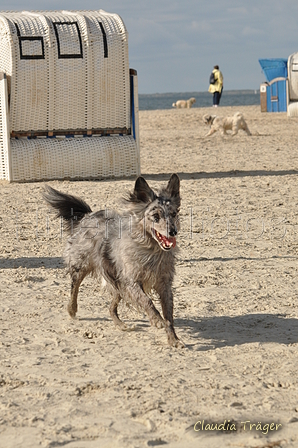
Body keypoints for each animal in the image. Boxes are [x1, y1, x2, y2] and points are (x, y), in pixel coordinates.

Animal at [43, 174, 184, 346]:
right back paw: (72, 309)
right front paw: (157, 320)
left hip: (116, 280)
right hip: (82, 266)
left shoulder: (164, 285)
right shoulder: (131, 281)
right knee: (74, 287)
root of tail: (88, 215)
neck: (151, 250)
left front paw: (173, 339)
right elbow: (147, 301)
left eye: (173, 214)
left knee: (111, 307)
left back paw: (120, 324)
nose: (173, 231)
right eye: (155, 217)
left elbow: (169, 316)